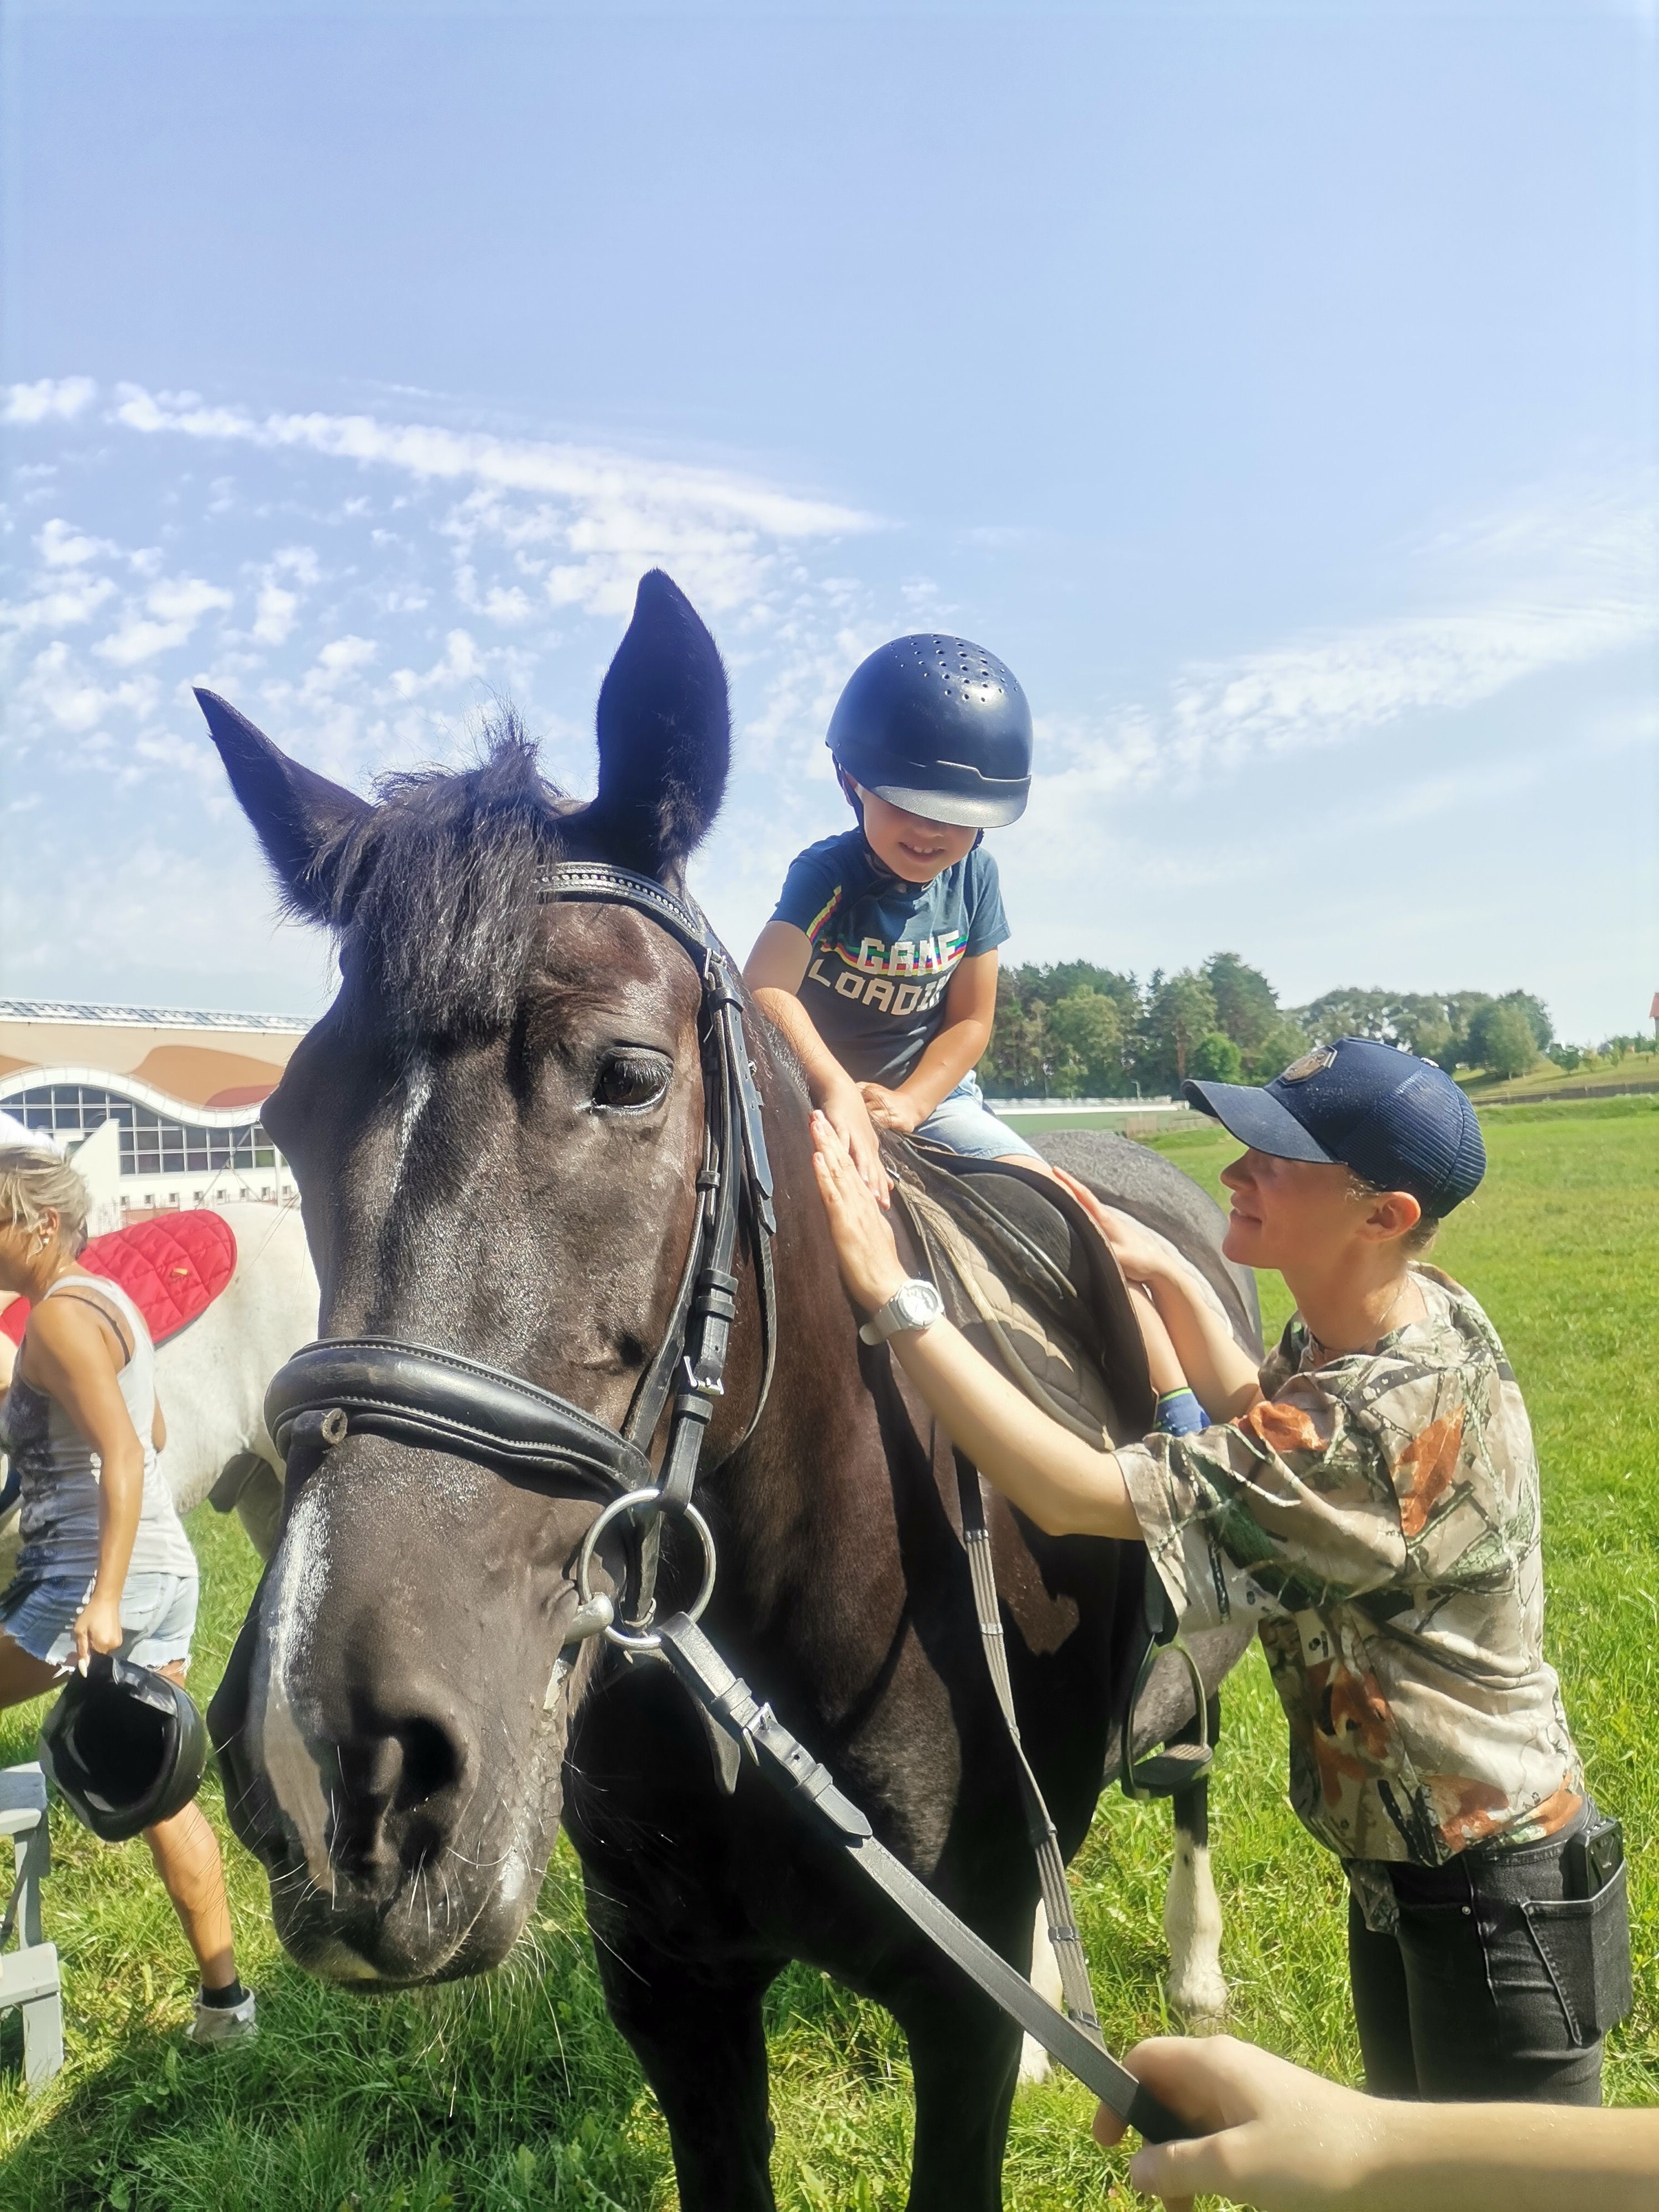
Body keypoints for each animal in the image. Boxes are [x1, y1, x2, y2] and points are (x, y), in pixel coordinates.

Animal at [202, 570, 1249, 2210]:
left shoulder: (951, 2029)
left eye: (629, 1075)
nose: (333, 1764)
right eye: (287, 1120)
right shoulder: (676, 2000)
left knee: (1193, 1766)